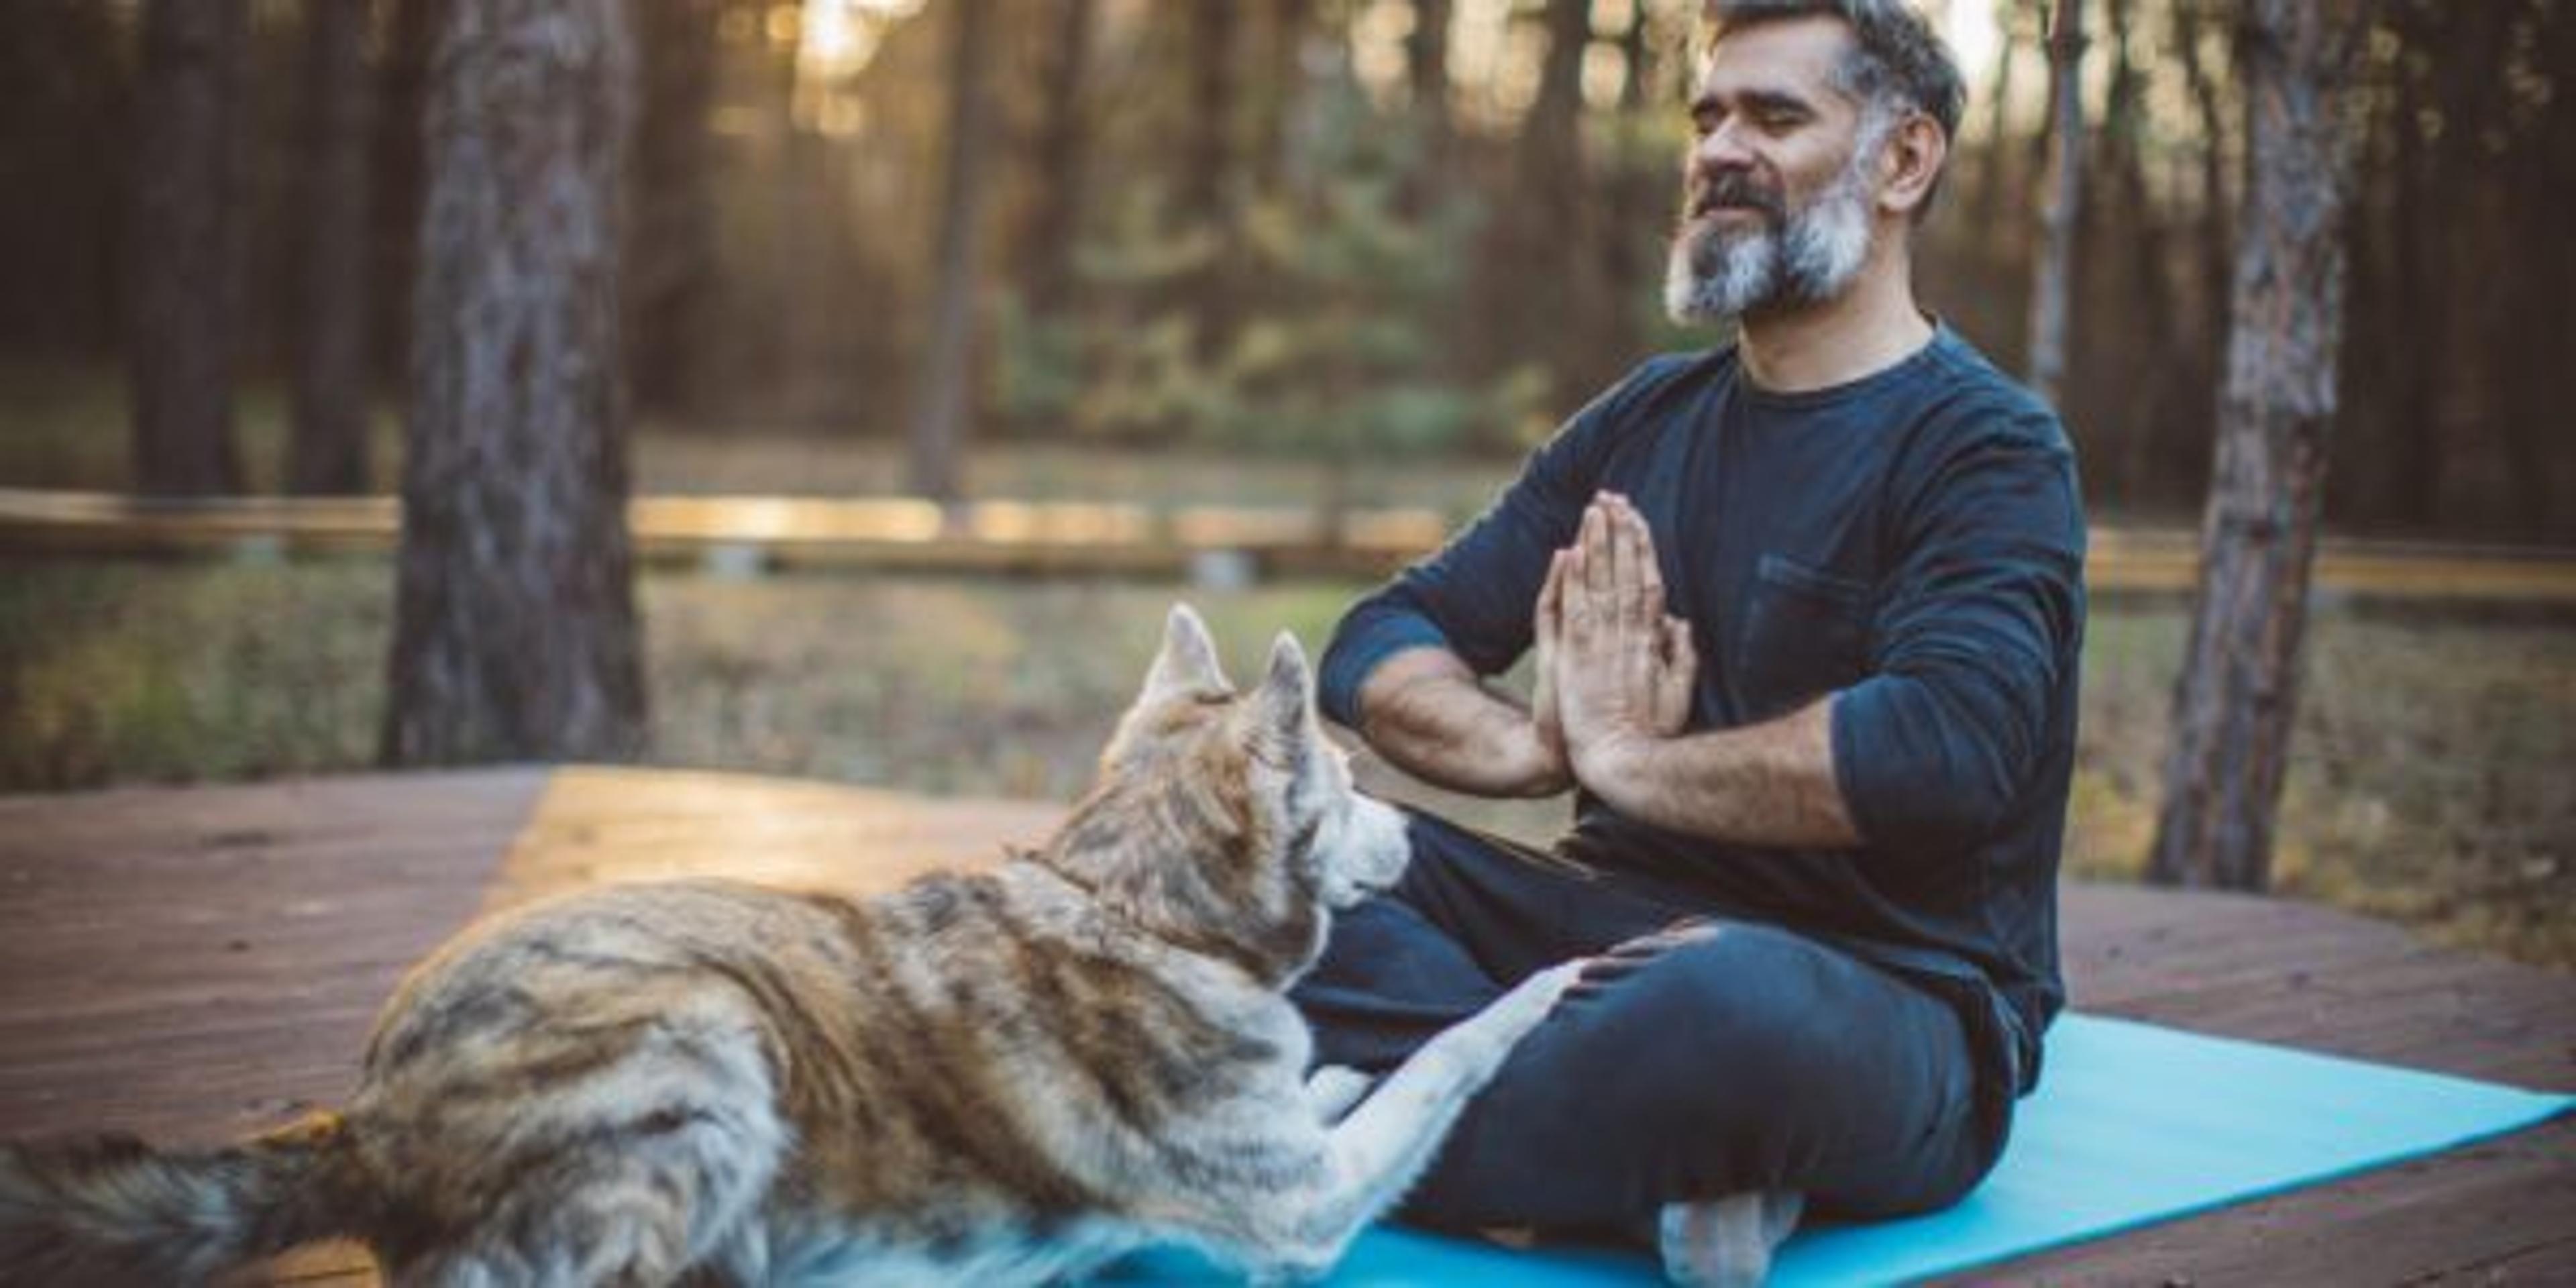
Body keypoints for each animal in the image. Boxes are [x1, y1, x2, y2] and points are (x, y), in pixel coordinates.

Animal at [0, 608, 1576, 1288]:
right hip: (702, 1055)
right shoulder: (1303, 1216)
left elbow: (1350, 1086)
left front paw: (1331, 1072)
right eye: (1352, 785)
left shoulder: (1293, 1161)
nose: (1410, 834)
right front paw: (1560, 979)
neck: (1138, 905)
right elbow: (1452, 1051)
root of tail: (367, 1115)